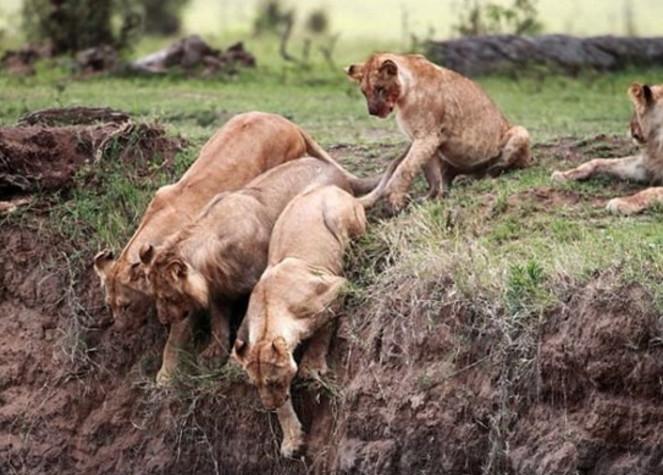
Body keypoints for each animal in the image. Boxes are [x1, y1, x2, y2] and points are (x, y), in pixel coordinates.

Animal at [141, 156, 368, 386]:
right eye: (155, 296)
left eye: (168, 297)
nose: (164, 321)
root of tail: (337, 170)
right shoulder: (218, 290)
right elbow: (218, 323)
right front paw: (214, 354)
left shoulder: (256, 283)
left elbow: (244, 325)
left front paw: (233, 362)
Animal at [232, 183, 368, 458]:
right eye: (256, 385)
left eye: (273, 382)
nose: (268, 406)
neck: (269, 315)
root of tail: (335, 188)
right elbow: (285, 406)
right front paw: (292, 440)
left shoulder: (337, 286)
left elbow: (323, 328)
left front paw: (312, 367)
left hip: (338, 218)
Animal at [344, 50, 532, 212]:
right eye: (364, 92)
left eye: (380, 89)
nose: (372, 111)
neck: (404, 96)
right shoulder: (428, 141)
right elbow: (431, 175)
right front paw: (431, 198)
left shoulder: (427, 137)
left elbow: (405, 168)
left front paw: (395, 200)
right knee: (449, 174)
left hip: (520, 132)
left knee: (505, 165)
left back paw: (485, 173)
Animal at [552, 82, 663, 215]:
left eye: (635, 112)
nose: (630, 128)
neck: (656, 141)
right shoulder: (649, 165)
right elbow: (600, 161)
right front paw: (563, 174)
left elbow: (651, 191)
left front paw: (623, 202)